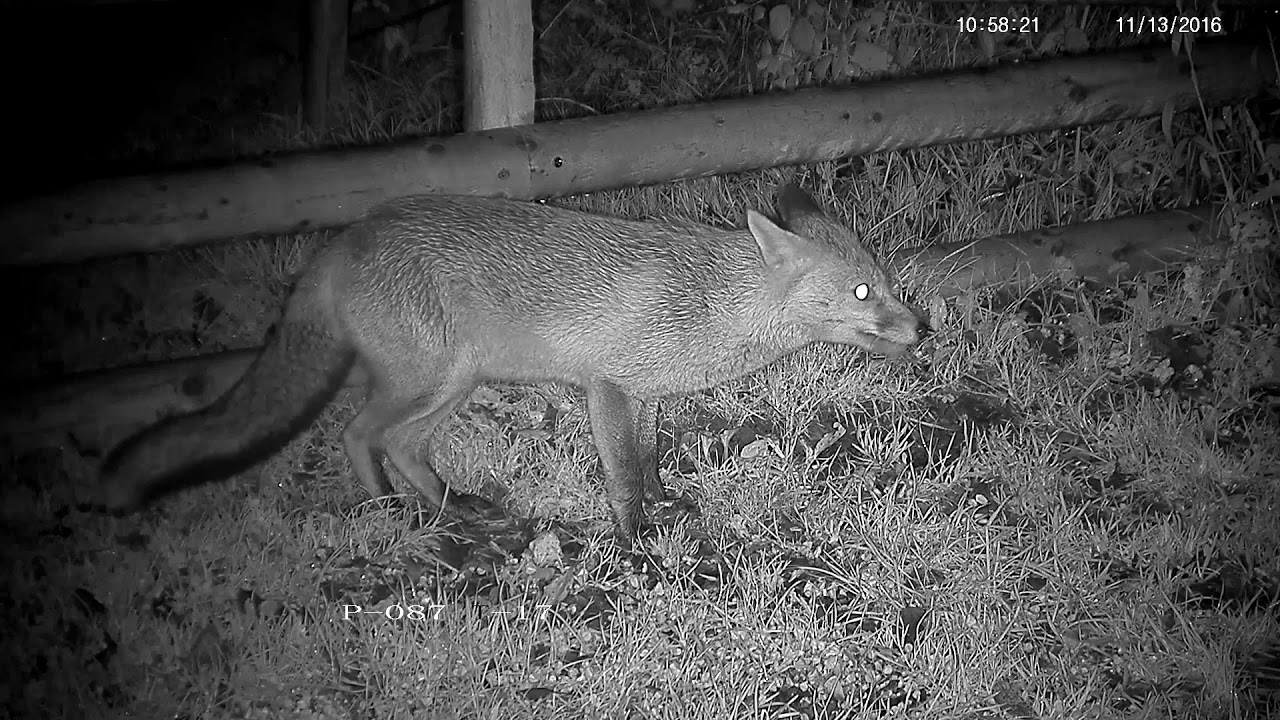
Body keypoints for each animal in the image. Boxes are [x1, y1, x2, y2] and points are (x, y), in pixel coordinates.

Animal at [99, 184, 921, 540]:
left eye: (885, 280)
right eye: (862, 291)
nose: (923, 327)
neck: (709, 304)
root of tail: (349, 236)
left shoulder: (647, 393)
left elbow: (650, 460)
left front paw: (664, 509)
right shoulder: (607, 386)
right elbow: (623, 477)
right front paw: (636, 545)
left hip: (453, 383)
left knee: (402, 444)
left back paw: (447, 507)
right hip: (426, 379)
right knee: (359, 435)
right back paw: (392, 516)